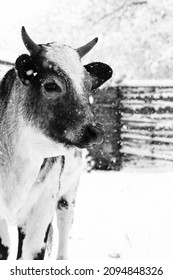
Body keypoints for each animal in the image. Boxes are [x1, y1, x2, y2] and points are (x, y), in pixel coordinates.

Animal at [0, 27, 113, 260]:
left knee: (64, 226)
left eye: (88, 86)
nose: (95, 131)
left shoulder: (41, 211)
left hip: (67, 196)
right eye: (51, 85)